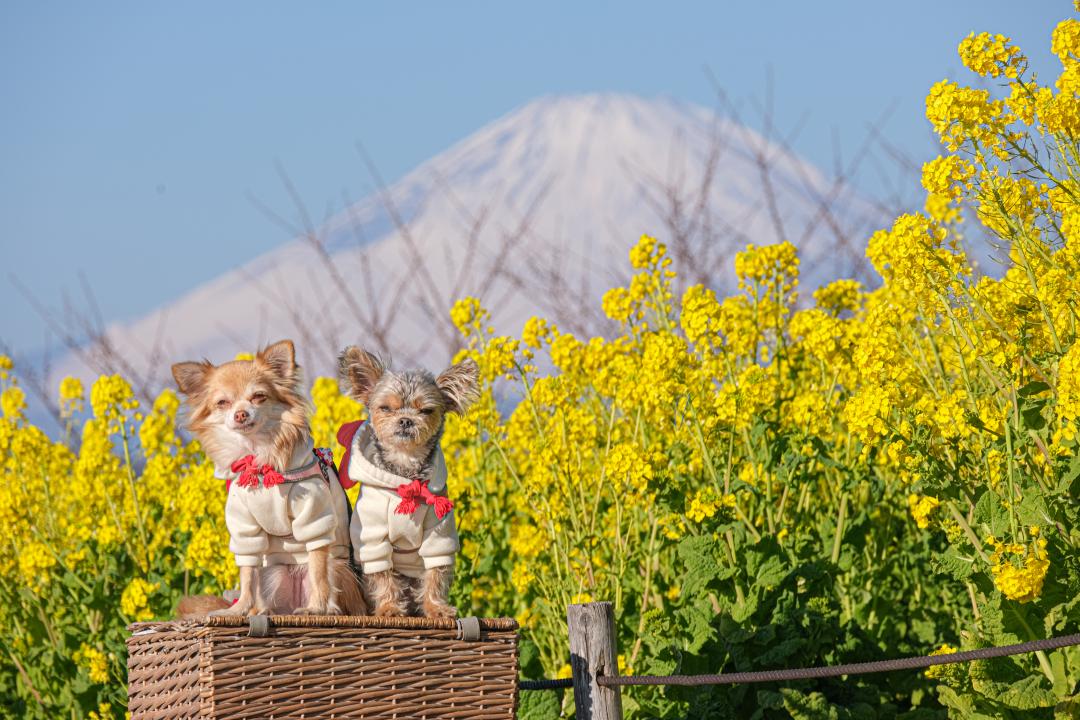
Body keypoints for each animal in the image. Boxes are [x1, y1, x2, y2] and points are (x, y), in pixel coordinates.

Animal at [172, 341, 365, 617]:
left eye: (259, 396)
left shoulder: (314, 517)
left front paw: (316, 608)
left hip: (339, 567)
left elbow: (318, 569)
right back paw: (260, 612)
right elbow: (246, 574)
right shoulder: (245, 527)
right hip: (272, 573)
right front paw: (238, 609)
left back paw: (323, 608)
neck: (259, 462)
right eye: (222, 403)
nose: (241, 414)